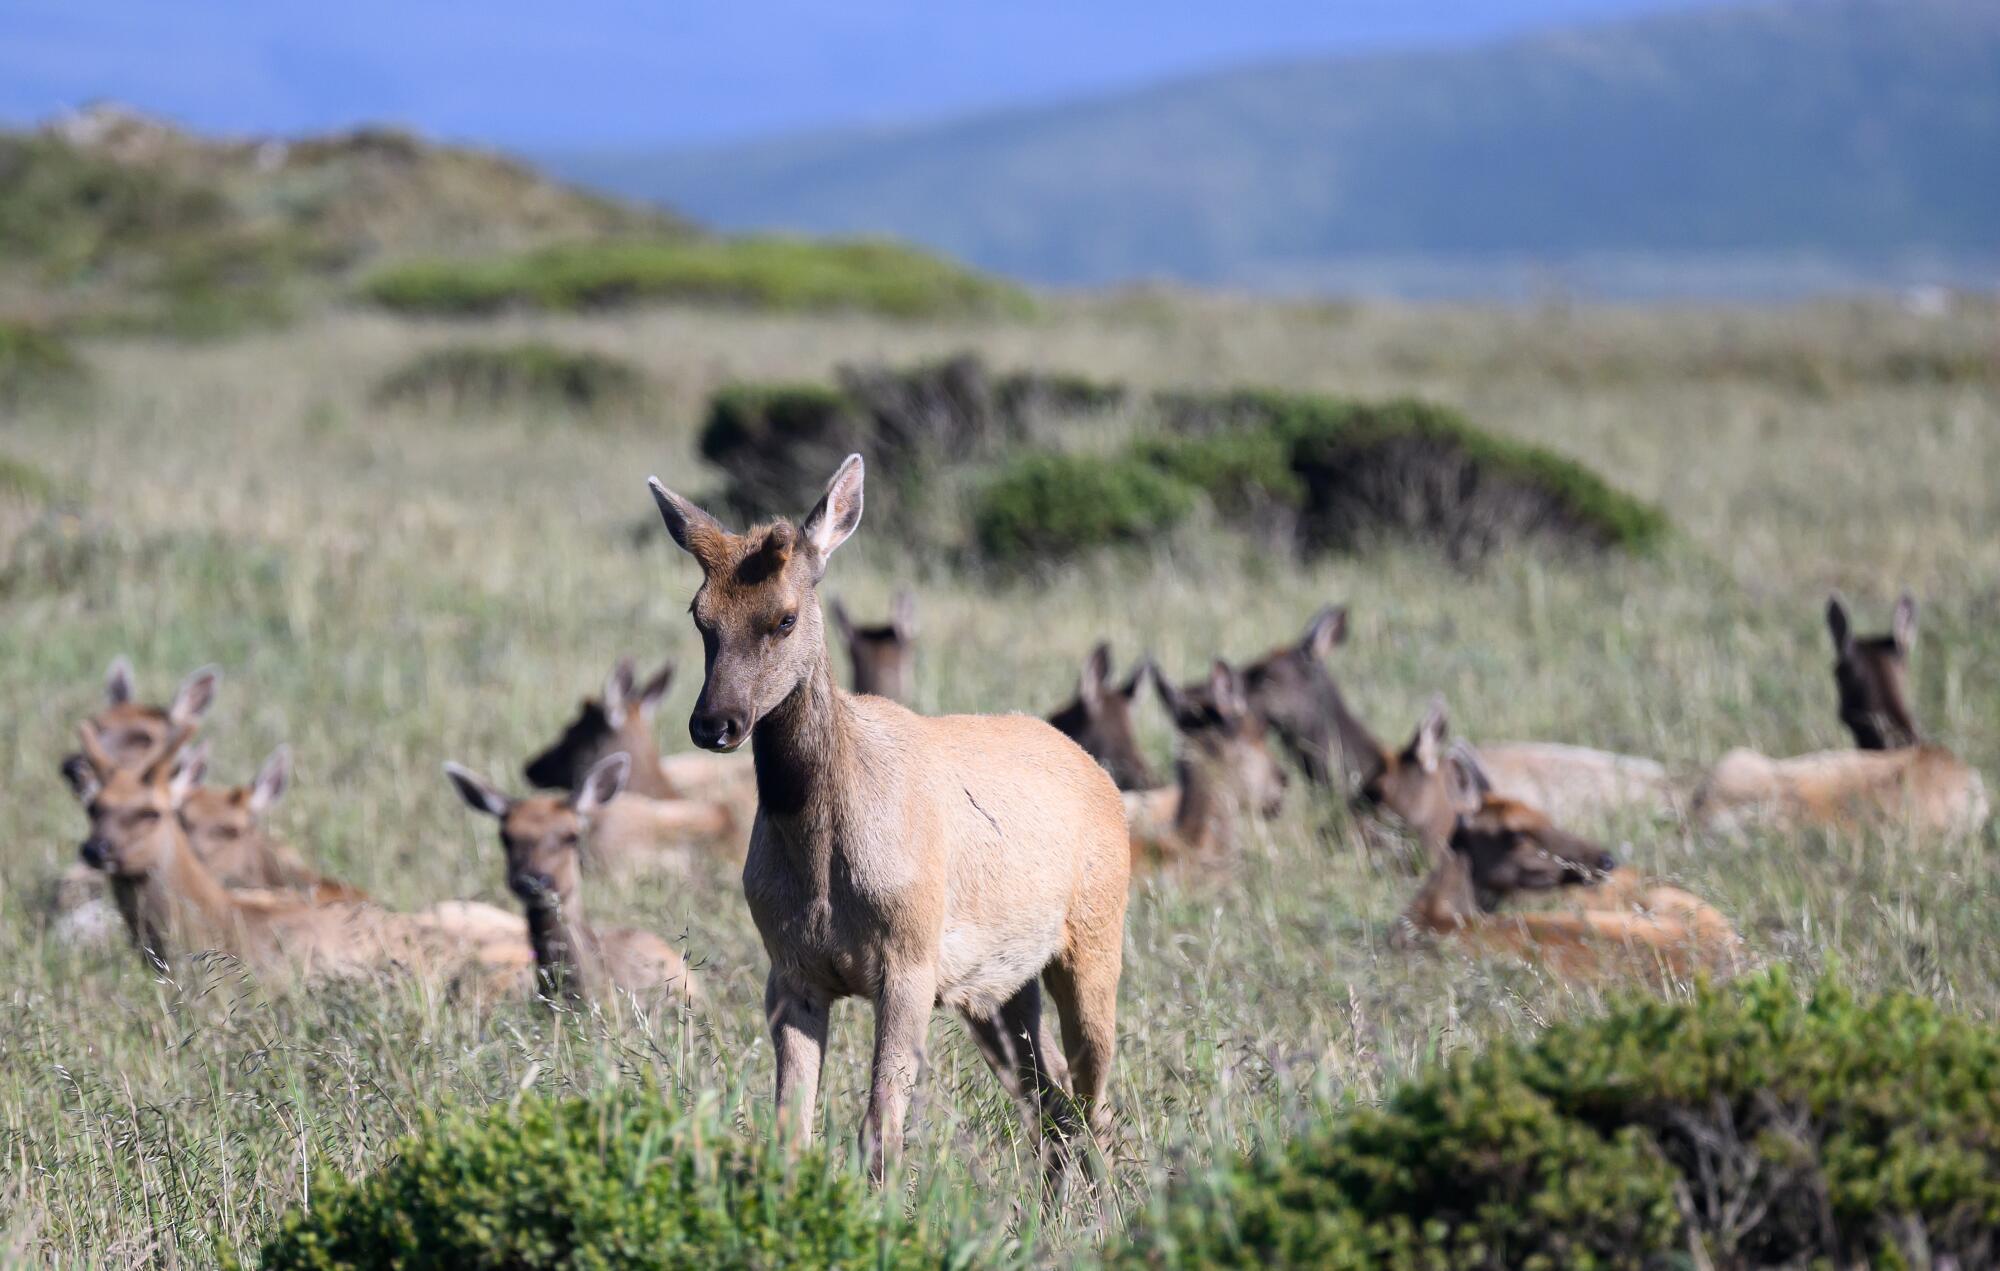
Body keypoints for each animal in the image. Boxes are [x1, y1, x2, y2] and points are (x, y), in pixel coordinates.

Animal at [647, 453, 1130, 1187]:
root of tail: (1104, 780)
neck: (821, 858)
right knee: (1050, 1101)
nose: (715, 722)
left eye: (784, 618)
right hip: (998, 987)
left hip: (1095, 937)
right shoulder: (789, 970)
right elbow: (791, 1131)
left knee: (1093, 1097)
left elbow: (880, 1131)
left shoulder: (909, 960)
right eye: (700, 615)